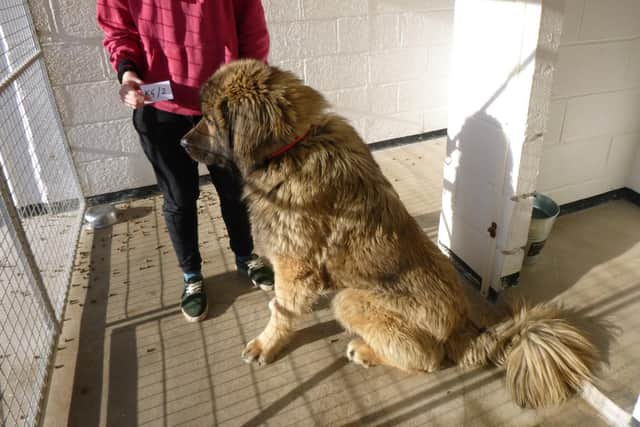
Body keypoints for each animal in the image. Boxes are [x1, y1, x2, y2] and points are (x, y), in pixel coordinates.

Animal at [182, 58, 596, 410]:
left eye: (209, 118)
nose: (181, 143)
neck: (293, 146)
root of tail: (462, 329)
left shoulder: (294, 264)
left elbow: (281, 310)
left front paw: (266, 344)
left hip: (350, 300)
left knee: (426, 360)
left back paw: (366, 352)